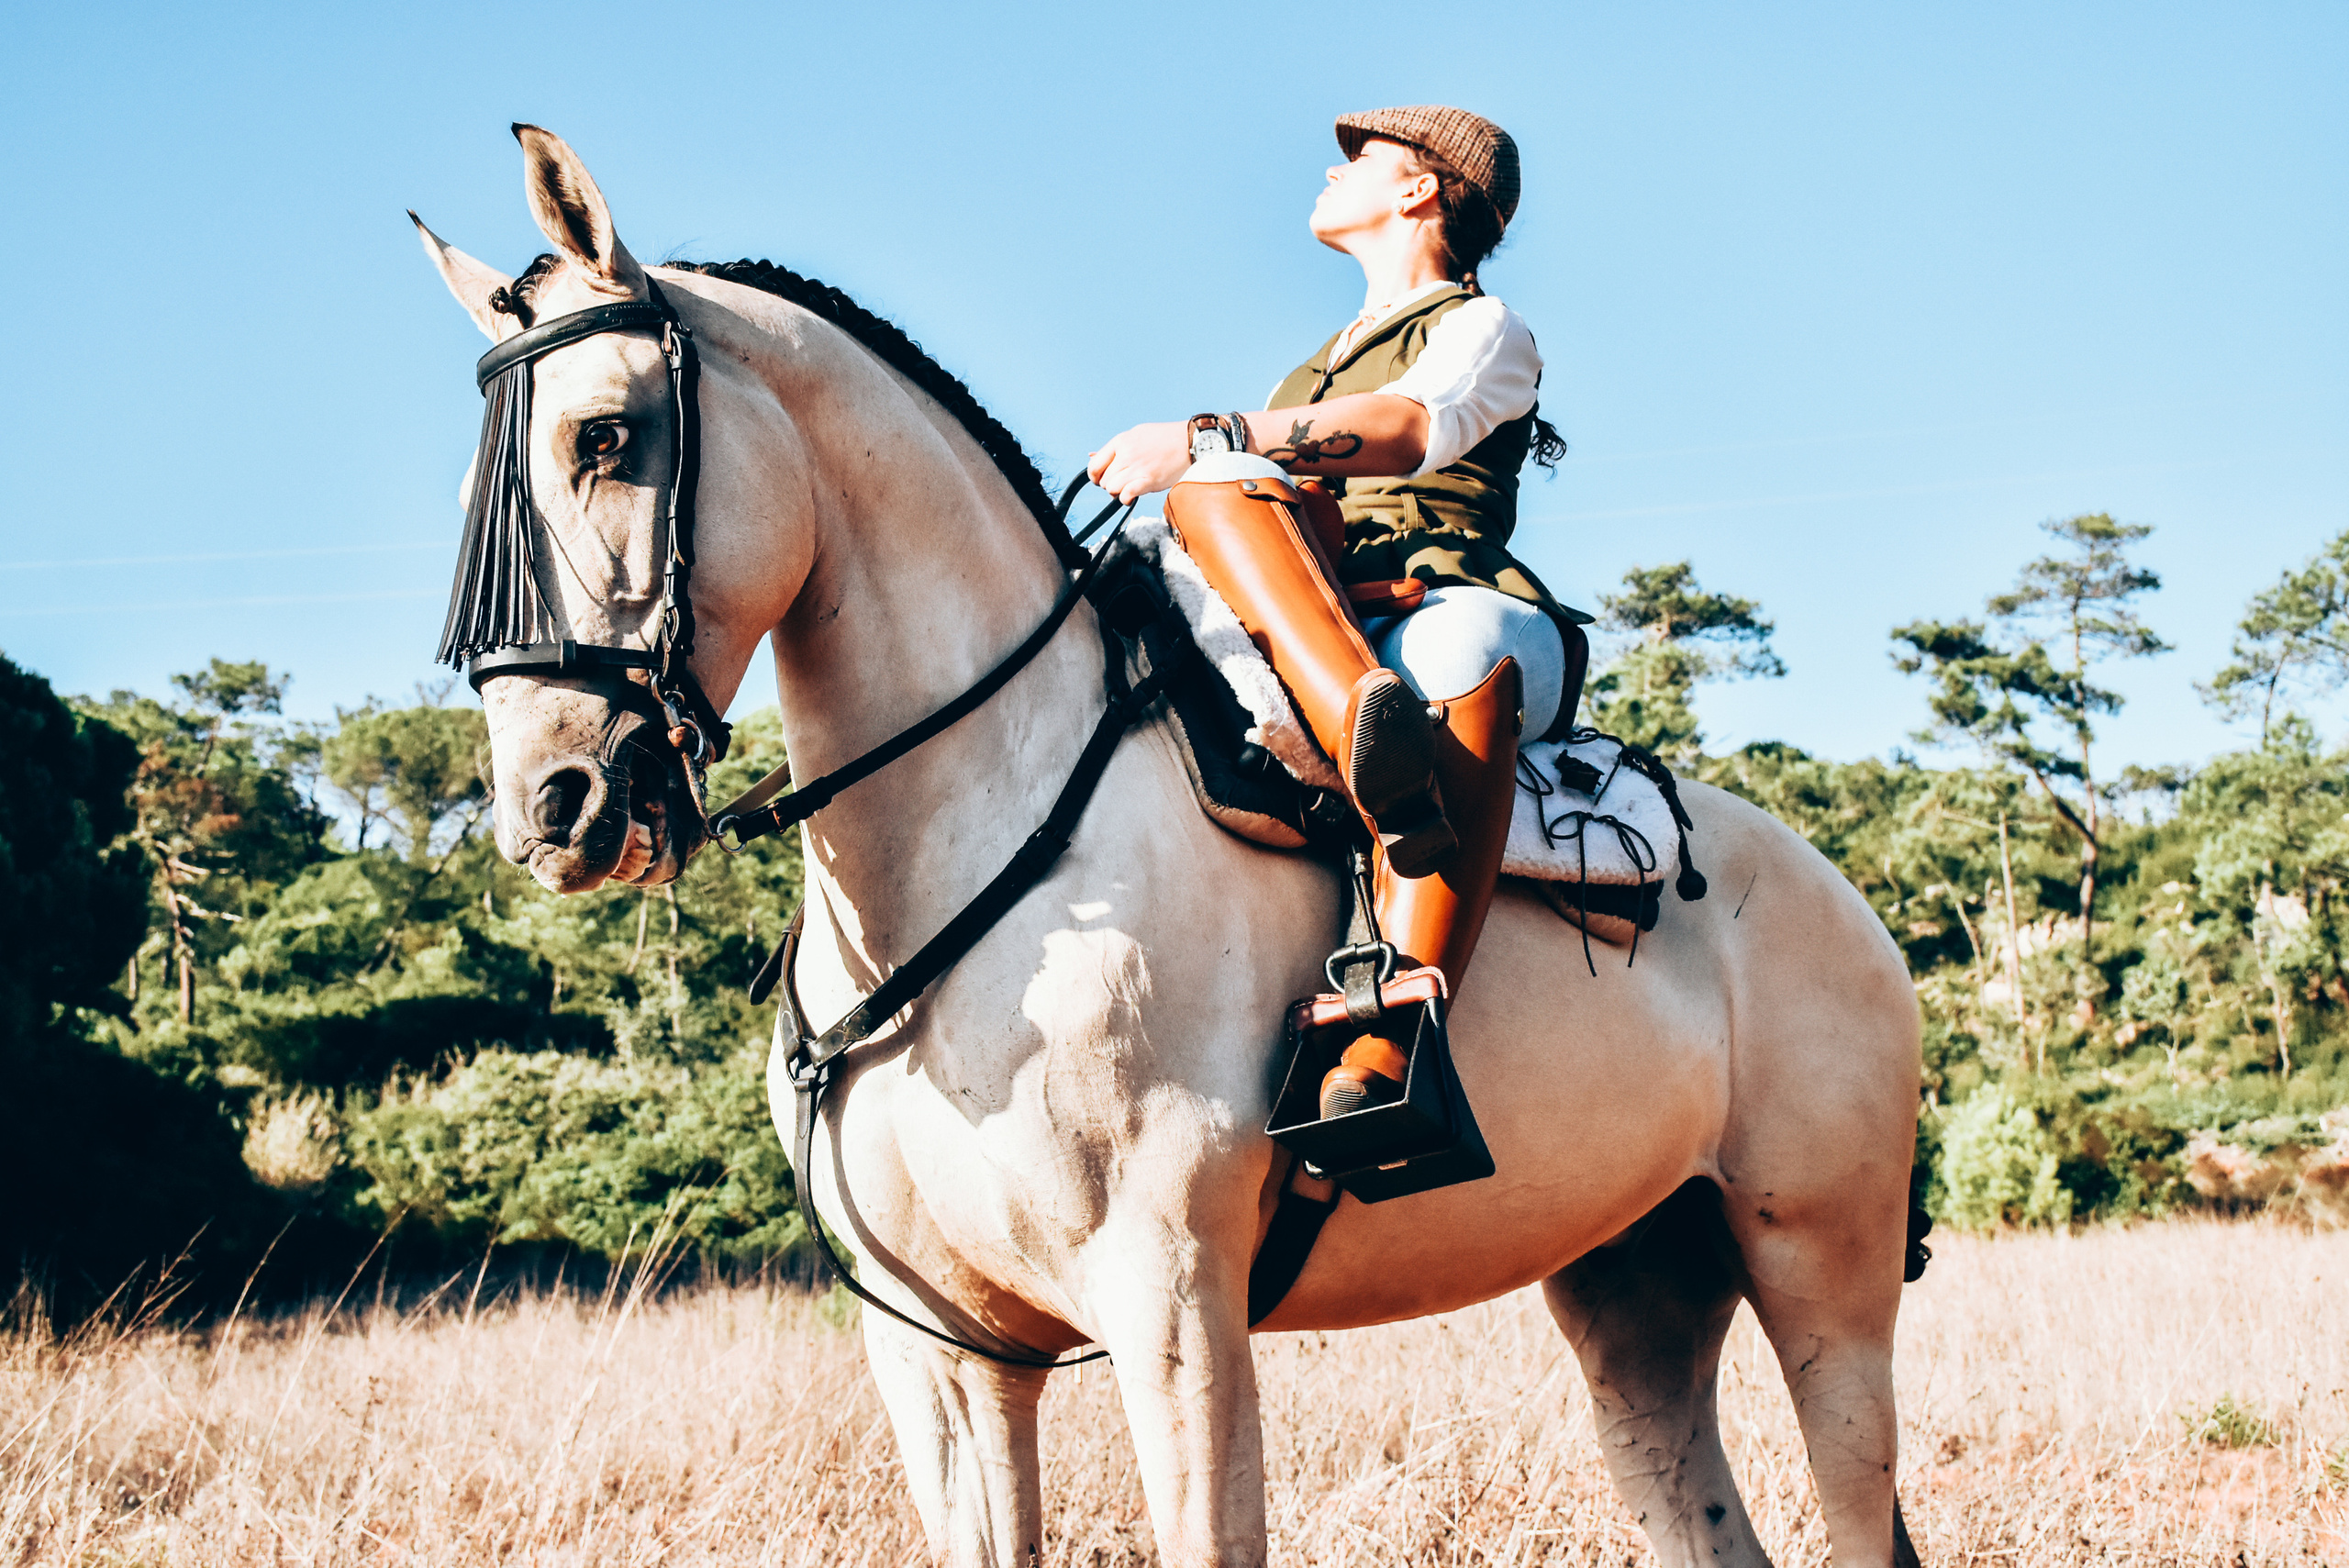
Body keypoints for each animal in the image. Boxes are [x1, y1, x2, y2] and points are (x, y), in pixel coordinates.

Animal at [414, 125, 1926, 1568]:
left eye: (605, 439)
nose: (551, 806)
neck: (971, 850)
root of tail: (1836, 894)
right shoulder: (946, 1360)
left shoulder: (1176, 1314)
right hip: (1633, 1292)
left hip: (1820, 1280)